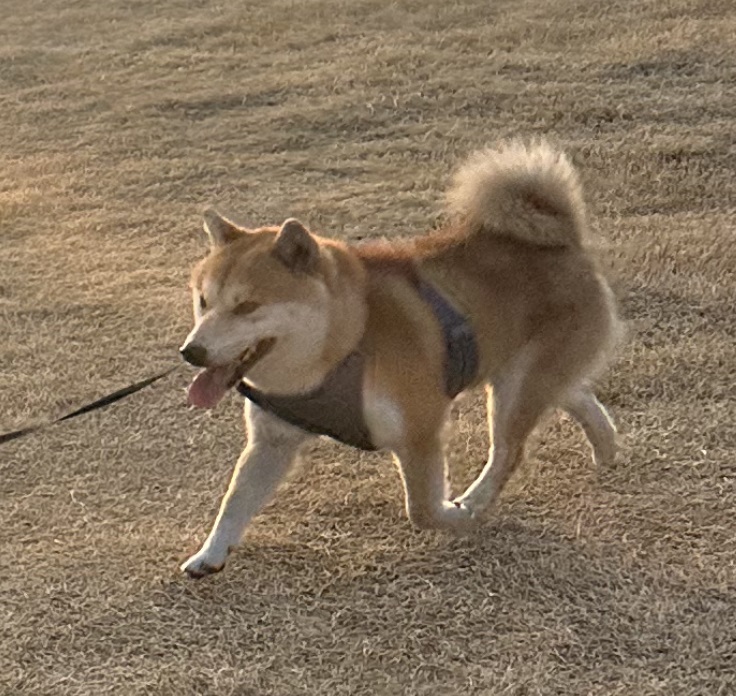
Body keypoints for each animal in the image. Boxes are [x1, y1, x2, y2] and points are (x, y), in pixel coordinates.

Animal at [180, 140, 620, 576]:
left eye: (247, 307)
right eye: (203, 301)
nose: (191, 352)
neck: (342, 343)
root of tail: (564, 240)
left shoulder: (419, 429)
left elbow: (422, 511)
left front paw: (456, 517)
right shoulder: (272, 441)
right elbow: (234, 502)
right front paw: (209, 555)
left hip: (514, 389)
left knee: (509, 452)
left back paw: (477, 500)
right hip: (522, 375)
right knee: (577, 394)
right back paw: (606, 449)